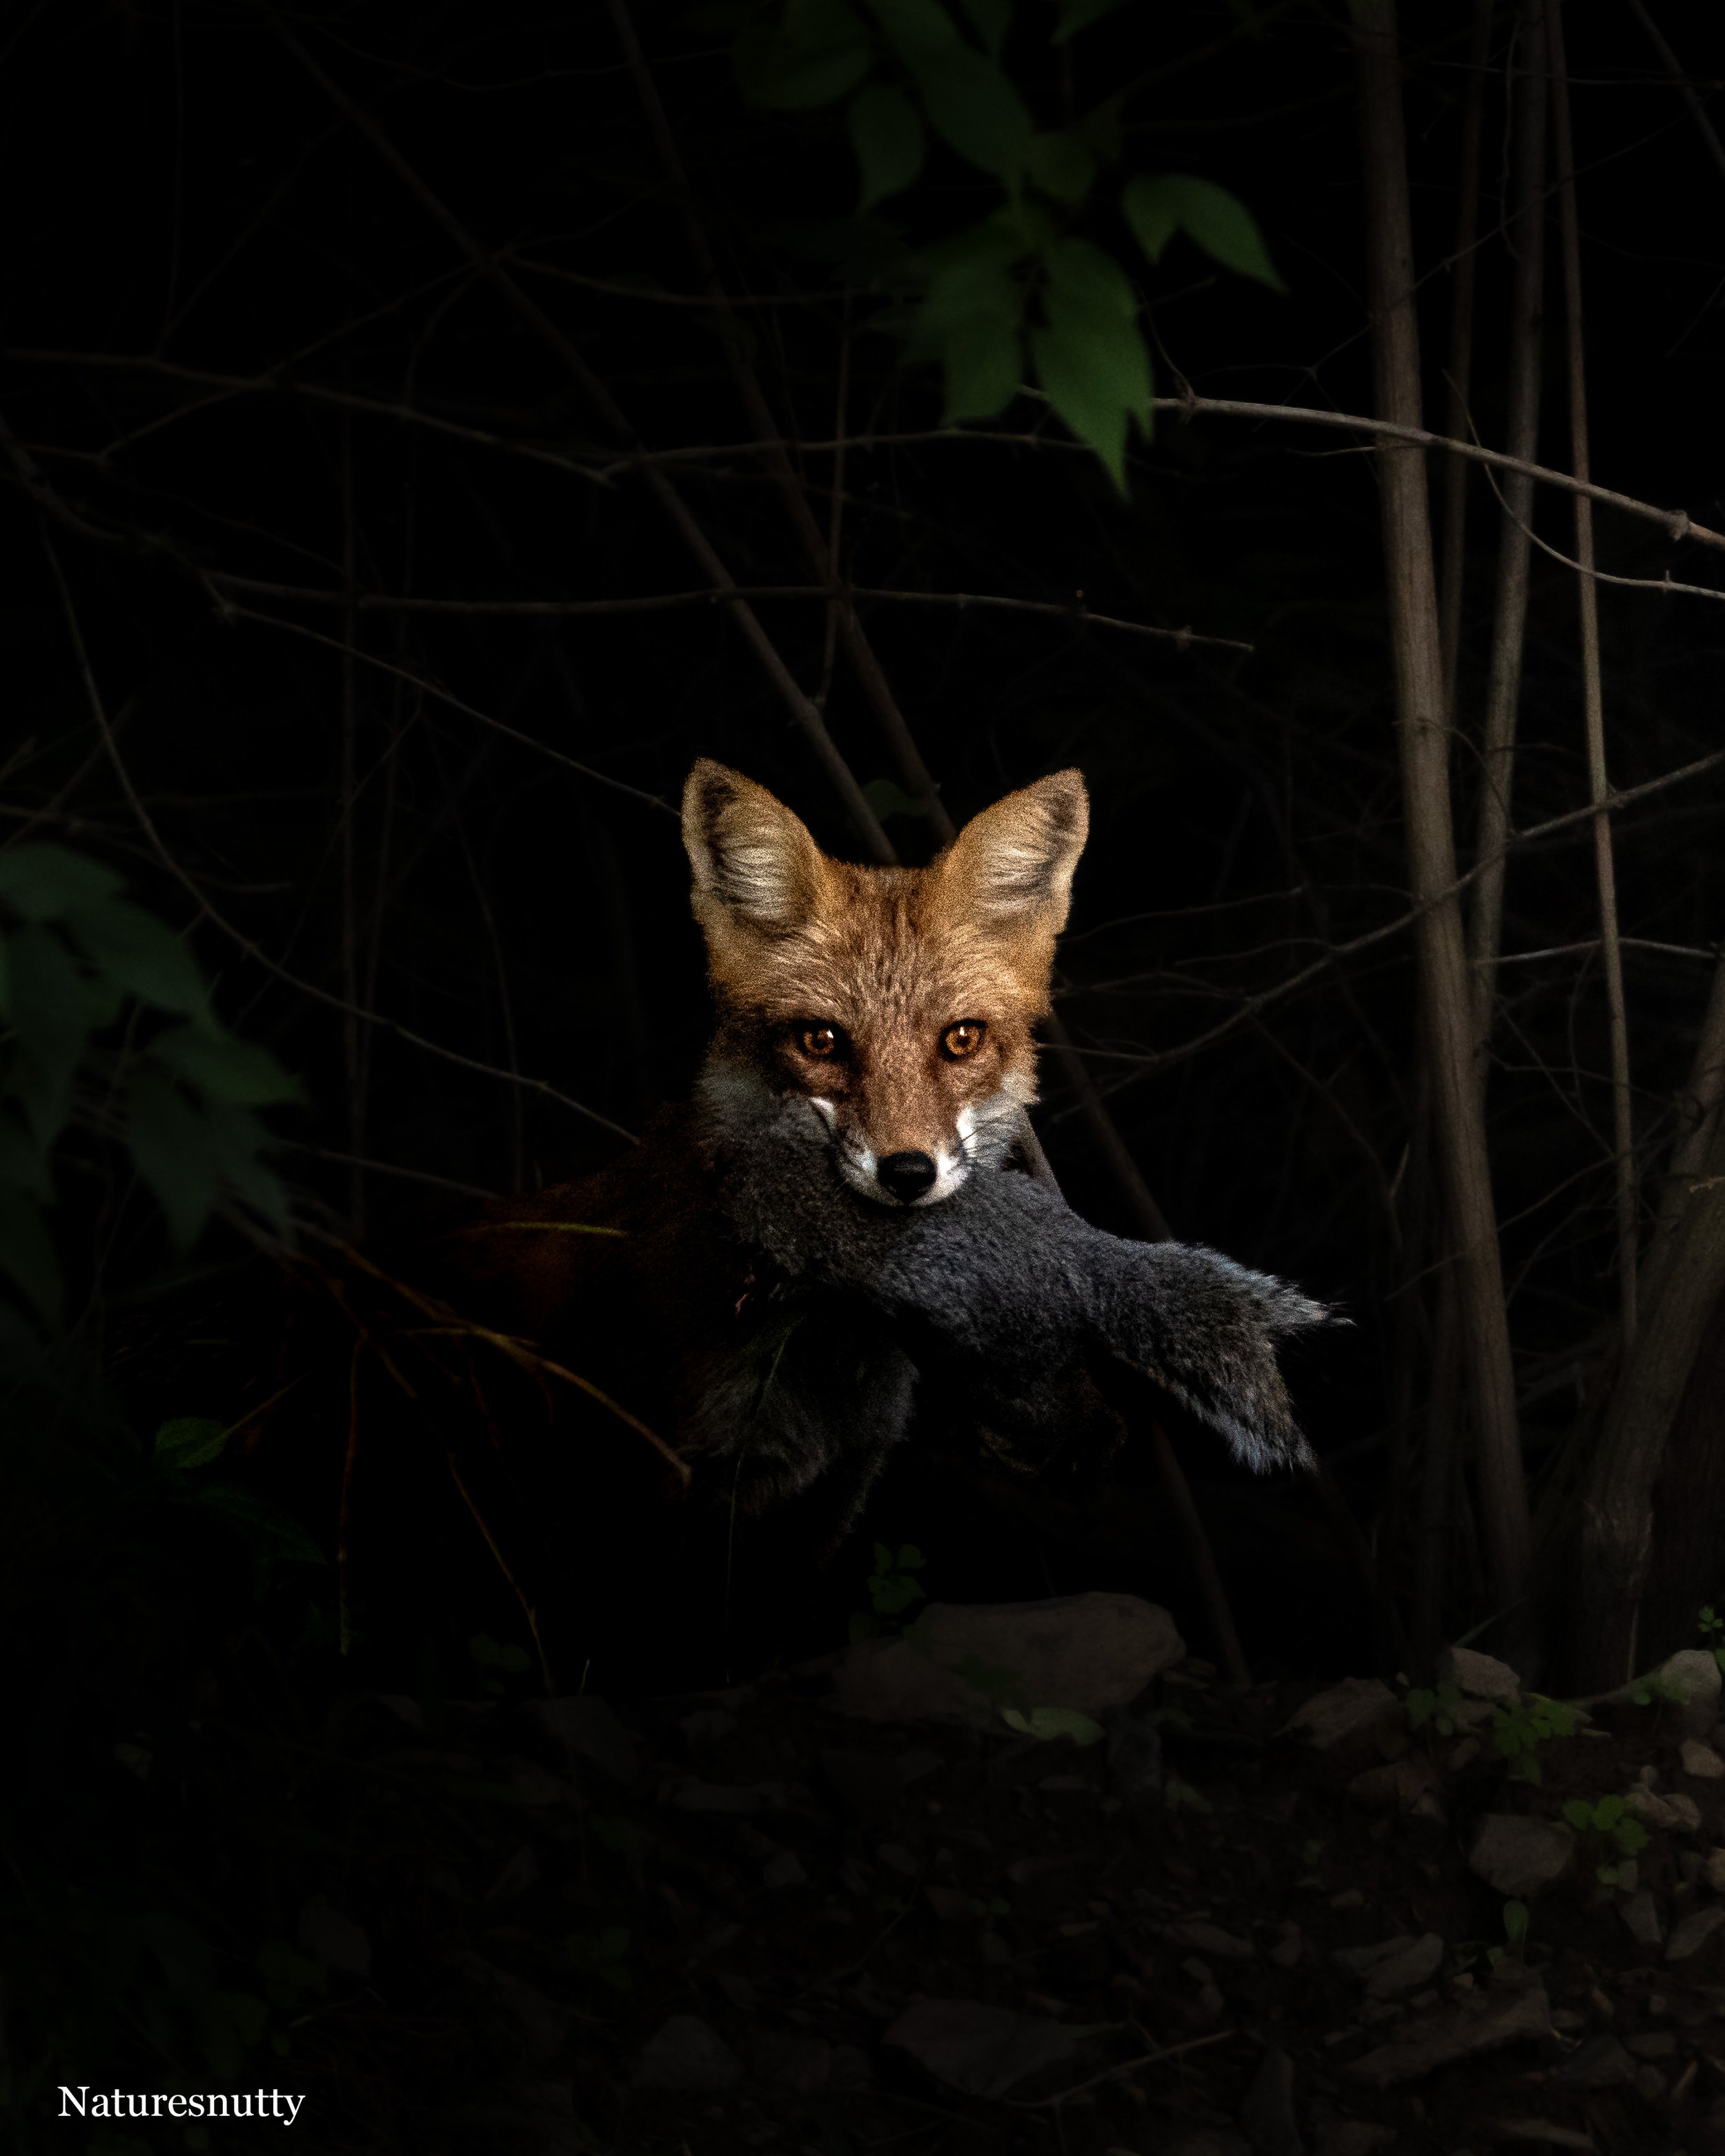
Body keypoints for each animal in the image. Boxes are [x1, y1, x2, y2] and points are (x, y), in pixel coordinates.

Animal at [434, 759, 1328, 1590]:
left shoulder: (826, 1501)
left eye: (961, 1039)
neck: (817, 1354)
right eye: (821, 1041)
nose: (906, 1172)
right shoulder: (647, 1503)